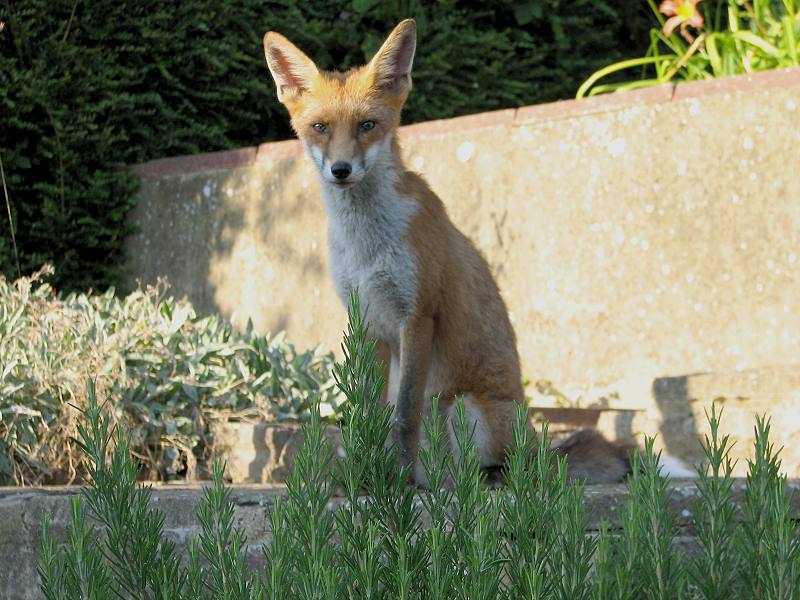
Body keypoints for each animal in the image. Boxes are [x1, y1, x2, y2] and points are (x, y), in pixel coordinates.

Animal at [262, 20, 694, 486]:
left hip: (462, 407)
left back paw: (461, 481)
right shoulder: (368, 323)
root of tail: (537, 446)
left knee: (501, 469)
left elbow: (403, 416)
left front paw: (397, 481)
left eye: (367, 125)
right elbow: (366, 416)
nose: (340, 170)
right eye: (321, 127)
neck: (367, 243)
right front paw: (363, 476)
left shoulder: (418, 315)